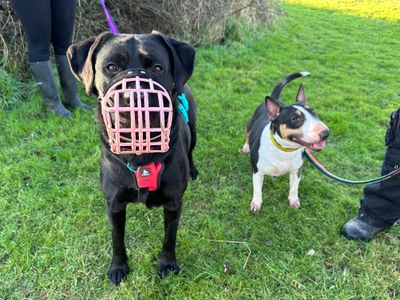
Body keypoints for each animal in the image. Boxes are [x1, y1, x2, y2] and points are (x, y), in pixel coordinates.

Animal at [242, 72, 330, 211]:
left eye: (313, 112)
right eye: (295, 118)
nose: (326, 133)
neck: (285, 149)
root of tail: (275, 100)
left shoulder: (296, 171)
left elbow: (294, 188)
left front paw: (294, 201)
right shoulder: (257, 172)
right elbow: (257, 190)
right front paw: (256, 203)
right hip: (250, 122)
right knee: (247, 133)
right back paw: (246, 147)